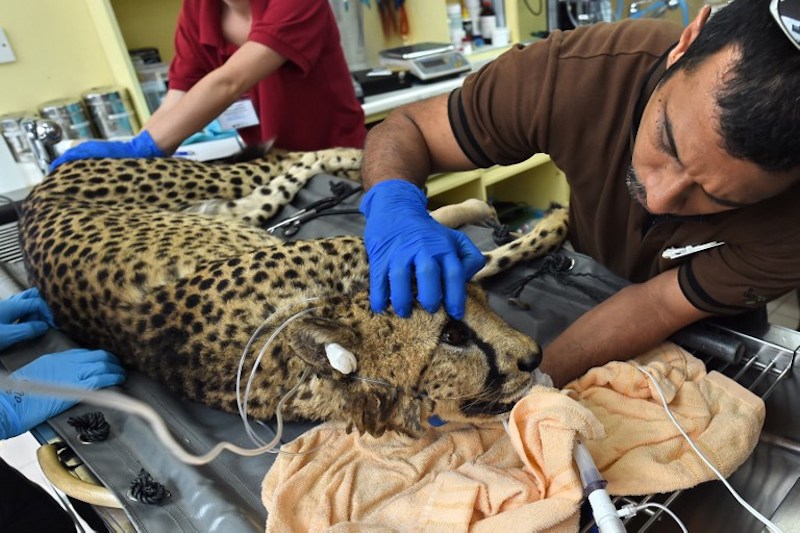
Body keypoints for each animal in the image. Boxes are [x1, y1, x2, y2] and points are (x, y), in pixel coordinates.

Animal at [19, 148, 568, 437]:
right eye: (452, 336)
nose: (534, 355)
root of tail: (31, 197)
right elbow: (482, 254)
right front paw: (554, 224)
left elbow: (437, 241)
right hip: (200, 189)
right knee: (276, 166)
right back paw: (351, 157)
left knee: (286, 164)